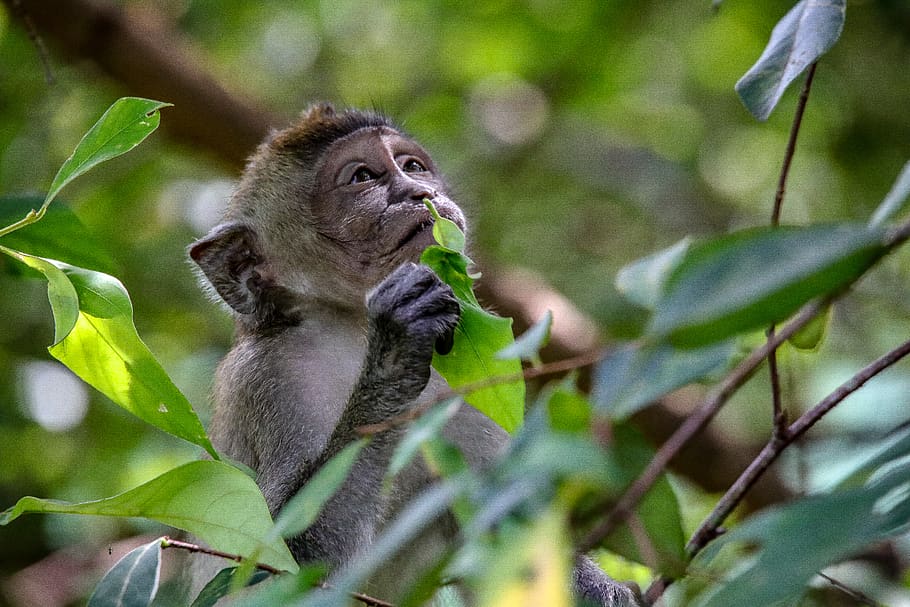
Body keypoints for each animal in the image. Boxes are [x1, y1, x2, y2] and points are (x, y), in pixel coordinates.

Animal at [189, 104, 641, 606]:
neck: (351, 333)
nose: (420, 192)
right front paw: (393, 353)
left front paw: (604, 590)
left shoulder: (468, 385)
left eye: (412, 166)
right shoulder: (269, 379)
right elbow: (276, 569)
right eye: (362, 177)